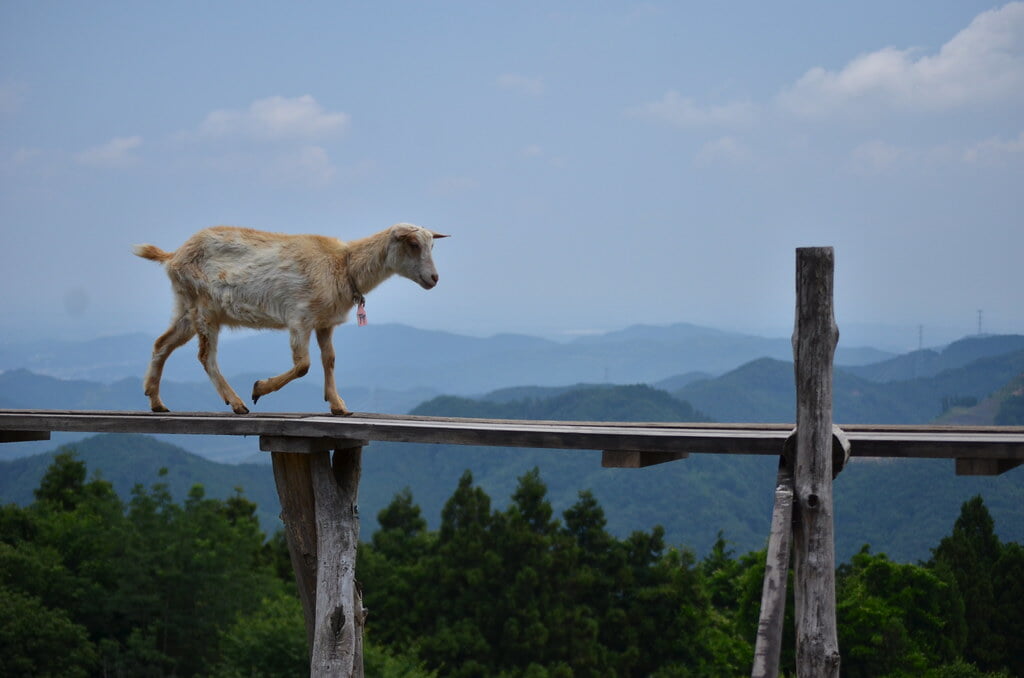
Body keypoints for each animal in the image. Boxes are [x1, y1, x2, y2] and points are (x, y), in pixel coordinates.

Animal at [133, 224, 448, 413]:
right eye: (413, 244)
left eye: (432, 246)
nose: (434, 278)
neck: (343, 265)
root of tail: (173, 255)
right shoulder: (300, 317)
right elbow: (303, 365)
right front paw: (259, 388)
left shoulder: (324, 322)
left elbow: (329, 359)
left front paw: (338, 405)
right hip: (204, 307)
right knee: (205, 356)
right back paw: (237, 402)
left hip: (186, 307)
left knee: (162, 344)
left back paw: (156, 400)